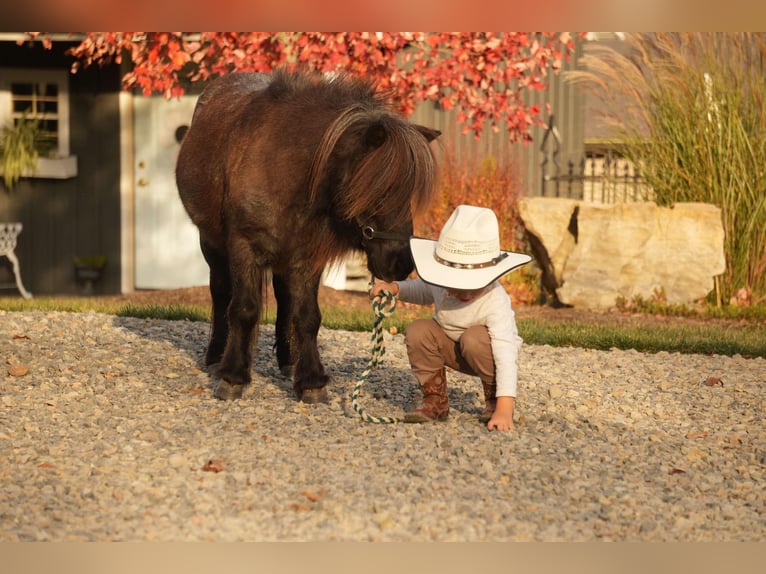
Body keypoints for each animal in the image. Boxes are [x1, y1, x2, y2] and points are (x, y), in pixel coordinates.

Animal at [177, 68, 440, 404]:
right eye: (380, 186)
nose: (400, 263)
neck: (282, 168)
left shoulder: (306, 256)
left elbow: (307, 316)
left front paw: (311, 380)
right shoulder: (243, 247)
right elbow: (244, 309)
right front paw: (233, 376)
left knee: (284, 298)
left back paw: (288, 360)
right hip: (211, 245)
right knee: (221, 291)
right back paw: (215, 358)